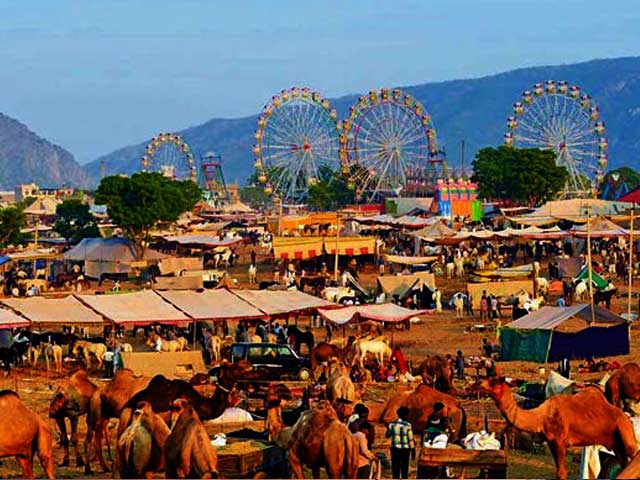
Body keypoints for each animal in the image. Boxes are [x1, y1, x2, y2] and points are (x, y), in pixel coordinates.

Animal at [478, 376, 636, 478]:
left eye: (493, 382)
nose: (479, 382)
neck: (541, 416)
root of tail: (625, 415)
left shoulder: (559, 442)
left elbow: (561, 473)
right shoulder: (551, 442)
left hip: (625, 430)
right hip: (616, 444)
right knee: (624, 463)